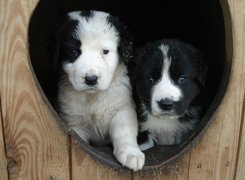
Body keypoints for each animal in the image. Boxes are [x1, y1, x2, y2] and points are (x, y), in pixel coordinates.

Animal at [46, 10, 144, 171]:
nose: (91, 79)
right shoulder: (74, 123)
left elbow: (123, 131)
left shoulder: (122, 108)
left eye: (105, 51)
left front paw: (131, 154)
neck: (92, 97)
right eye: (74, 52)